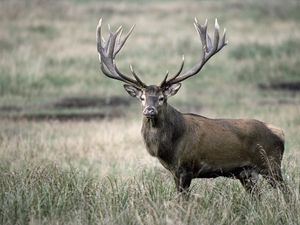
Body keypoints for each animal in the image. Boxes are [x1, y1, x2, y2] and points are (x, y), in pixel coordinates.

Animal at [96, 18, 286, 196]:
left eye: (162, 98)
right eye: (142, 98)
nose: (149, 110)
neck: (169, 148)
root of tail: (280, 132)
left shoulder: (186, 168)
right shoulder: (174, 171)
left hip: (270, 163)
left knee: (286, 192)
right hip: (246, 173)